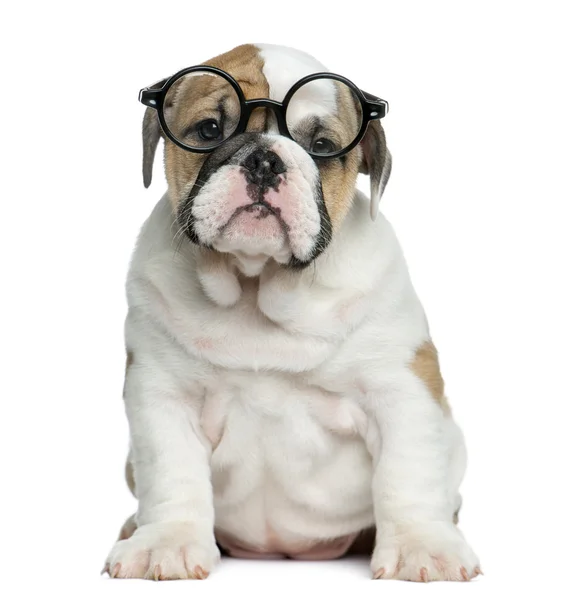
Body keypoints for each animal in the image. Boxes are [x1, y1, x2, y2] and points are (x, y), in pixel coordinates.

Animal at [102, 42, 482, 580]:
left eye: (321, 145)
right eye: (210, 130)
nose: (264, 160)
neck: (258, 286)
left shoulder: (401, 390)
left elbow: (409, 473)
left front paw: (421, 545)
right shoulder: (161, 393)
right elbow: (171, 473)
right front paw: (166, 542)